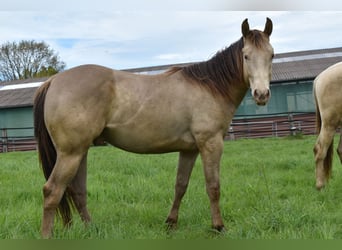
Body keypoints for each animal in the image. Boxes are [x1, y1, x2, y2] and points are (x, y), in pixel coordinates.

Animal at [33, 18, 274, 238]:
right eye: (246, 56)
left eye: (271, 55)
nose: (261, 94)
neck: (210, 87)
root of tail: (53, 81)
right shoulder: (211, 144)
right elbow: (213, 187)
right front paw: (218, 227)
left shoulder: (189, 150)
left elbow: (180, 186)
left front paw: (171, 223)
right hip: (70, 153)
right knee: (52, 191)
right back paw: (47, 236)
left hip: (80, 151)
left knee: (77, 191)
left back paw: (92, 230)